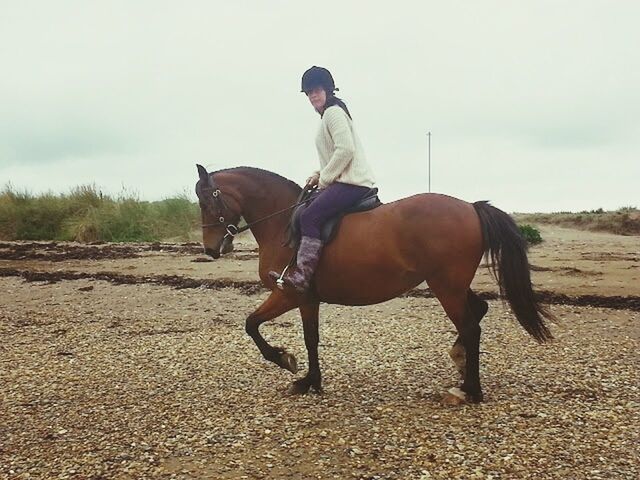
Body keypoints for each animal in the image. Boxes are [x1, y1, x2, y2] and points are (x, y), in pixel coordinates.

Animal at [194, 163, 552, 404]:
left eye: (208, 203)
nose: (210, 249)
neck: (282, 222)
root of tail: (471, 208)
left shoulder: (288, 294)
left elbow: (252, 325)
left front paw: (285, 361)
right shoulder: (307, 300)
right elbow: (311, 339)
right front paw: (311, 381)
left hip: (446, 287)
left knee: (470, 326)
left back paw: (470, 390)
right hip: (453, 285)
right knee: (479, 310)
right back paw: (460, 363)